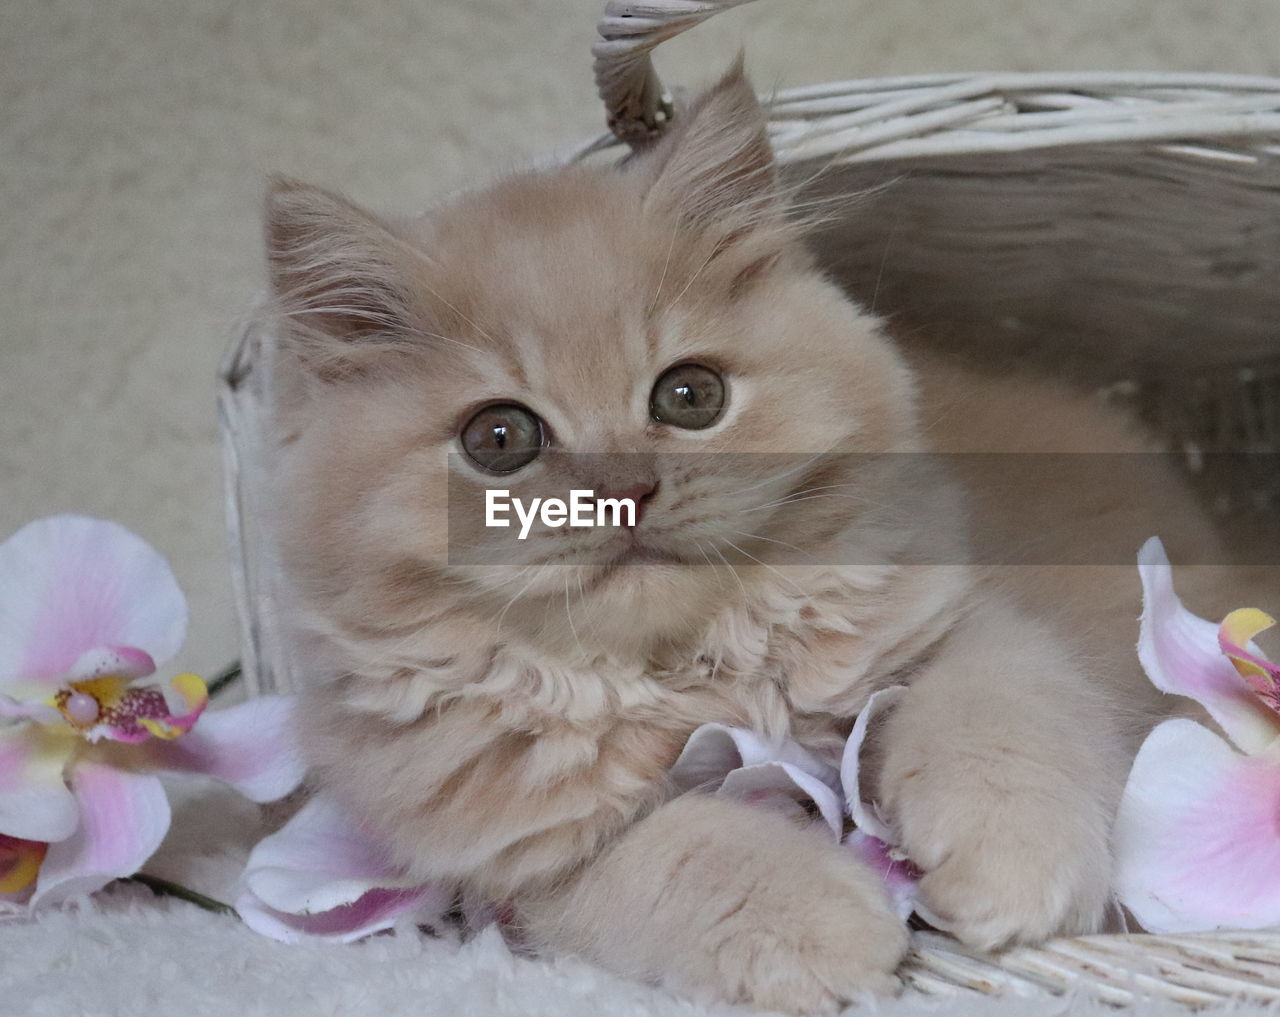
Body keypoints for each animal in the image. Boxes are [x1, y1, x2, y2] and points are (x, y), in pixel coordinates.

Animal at [262, 63, 1239, 1008]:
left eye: (689, 395)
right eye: (498, 439)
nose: (626, 490)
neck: (693, 675)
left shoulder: (968, 624)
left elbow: (998, 727)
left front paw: (1008, 875)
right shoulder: (535, 863)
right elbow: (691, 856)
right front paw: (832, 934)